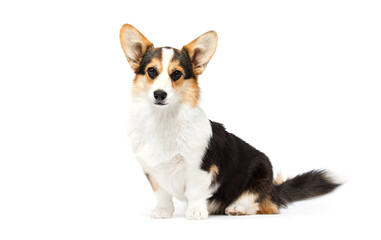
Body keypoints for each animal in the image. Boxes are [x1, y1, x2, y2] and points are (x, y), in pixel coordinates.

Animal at [119, 23, 338, 219]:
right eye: (151, 71)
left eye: (176, 74)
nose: (159, 94)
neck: (163, 120)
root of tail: (273, 192)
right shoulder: (152, 171)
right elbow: (162, 193)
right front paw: (162, 211)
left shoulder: (201, 167)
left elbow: (195, 191)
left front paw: (195, 212)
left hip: (261, 171)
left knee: (262, 205)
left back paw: (238, 208)